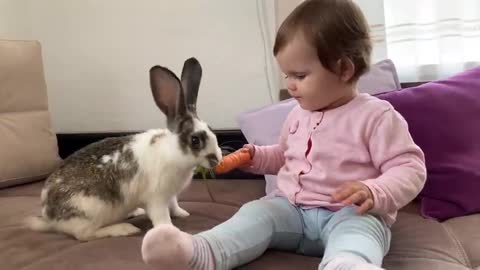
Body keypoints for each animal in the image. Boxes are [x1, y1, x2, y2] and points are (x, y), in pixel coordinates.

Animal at [24, 57, 223, 240]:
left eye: (211, 129)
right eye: (195, 140)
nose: (217, 158)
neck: (172, 151)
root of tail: (49, 217)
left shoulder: (170, 196)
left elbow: (174, 206)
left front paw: (182, 214)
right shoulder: (157, 198)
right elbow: (161, 217)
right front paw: (171, 231)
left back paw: (134, 213)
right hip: (91, 211)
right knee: (84, 235)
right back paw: (124, 229)